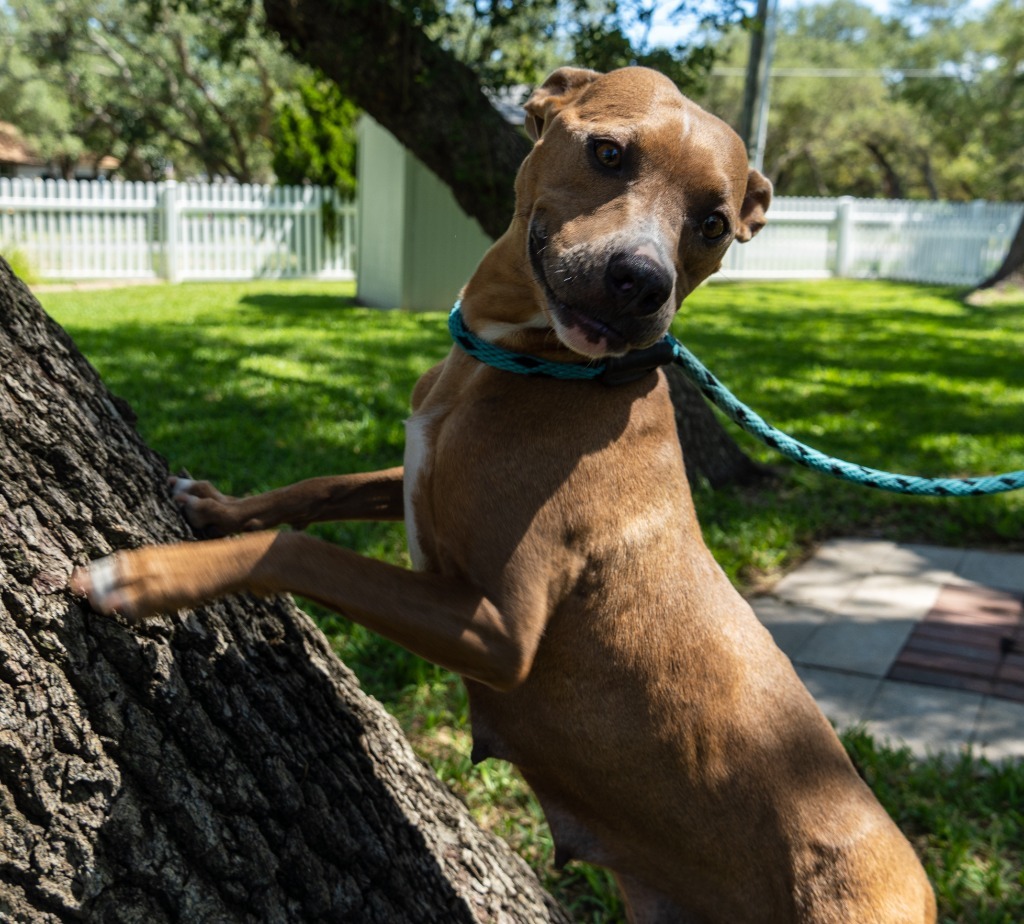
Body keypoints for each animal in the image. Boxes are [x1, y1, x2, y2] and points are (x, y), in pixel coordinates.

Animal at [70, 68, 937, 921]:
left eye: (715, 224)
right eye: (610, 152)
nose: (641, 282)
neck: (527, 365)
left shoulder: (500, 633)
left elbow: (304, 551)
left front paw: (147, 576)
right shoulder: (418, 481)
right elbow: (320, 490)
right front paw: (216, 508)